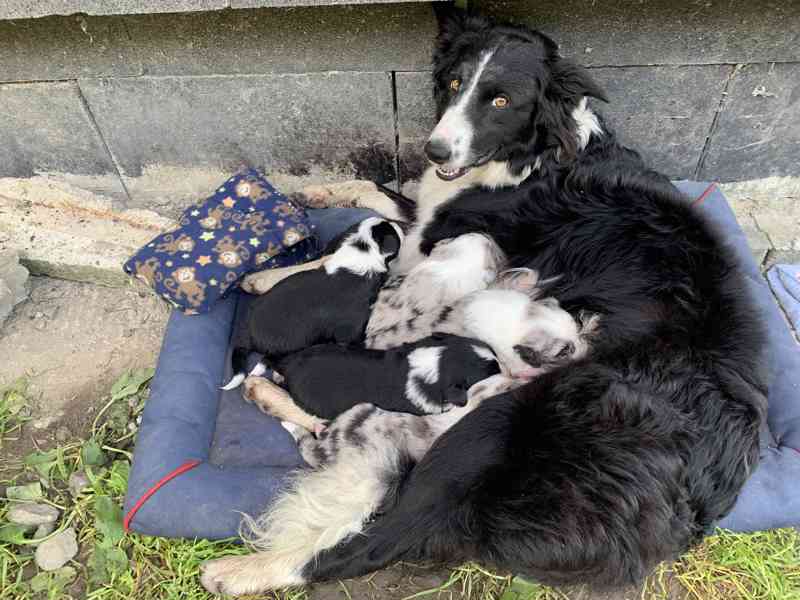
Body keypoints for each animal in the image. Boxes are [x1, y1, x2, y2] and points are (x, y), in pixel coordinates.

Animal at [222, 218, 404, 392]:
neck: (362, 251)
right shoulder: (350, 328)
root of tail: (245, 334)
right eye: (393, 232)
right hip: (291, 344)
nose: (401, 224)